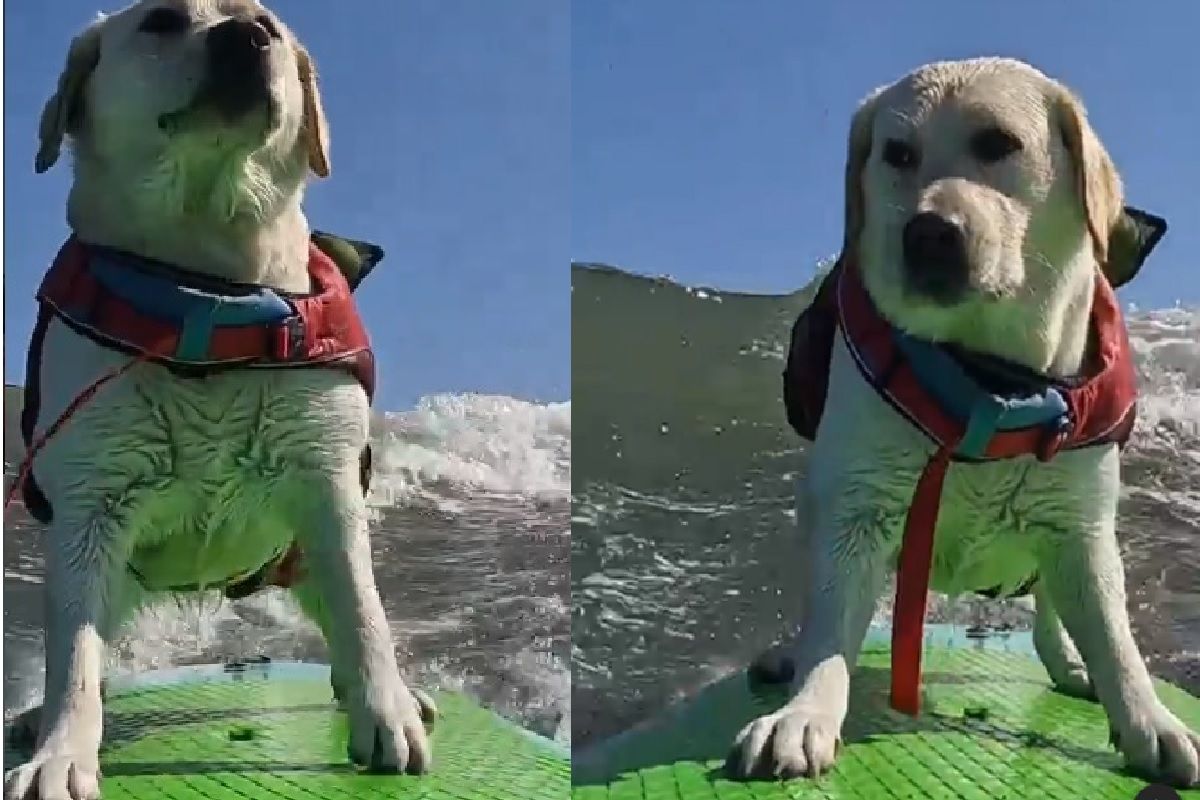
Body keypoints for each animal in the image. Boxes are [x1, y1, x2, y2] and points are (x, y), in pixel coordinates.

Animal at [4, 3, 436, 796]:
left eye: (269, 22)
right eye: (161, 20)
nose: (247, 37)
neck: (208, 289)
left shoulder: (327, 483)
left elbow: (364, 612)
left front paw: (385, 711)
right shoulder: (91, 505)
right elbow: (73, 654)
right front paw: (59, 753)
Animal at [720, 56, 1200, 786]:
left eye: (999, 144)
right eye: (897, 154)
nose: (927, 234)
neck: (989, 379)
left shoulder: (1082, 527)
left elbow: (1116, 640)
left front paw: (1149, 719)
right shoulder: (859, 510)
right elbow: (832, 627)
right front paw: (804, 713)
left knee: (1051, 610)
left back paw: (1070, 665)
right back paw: (788, 655)